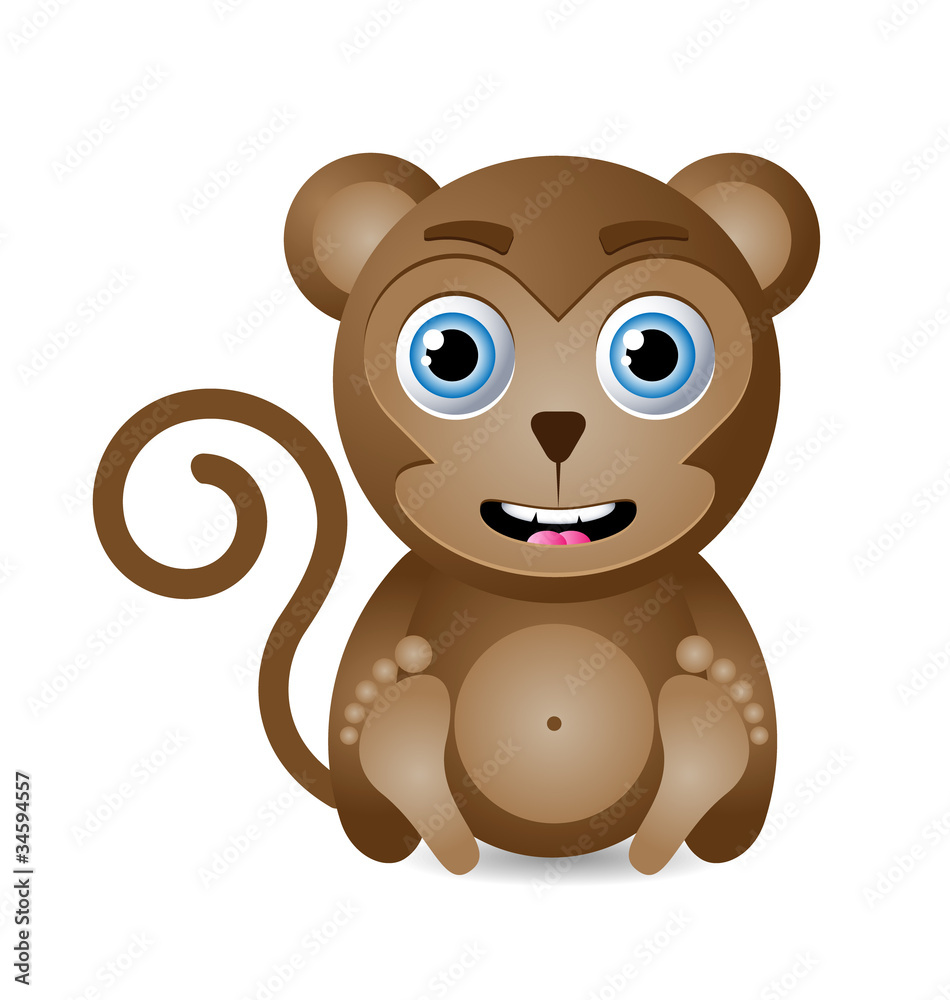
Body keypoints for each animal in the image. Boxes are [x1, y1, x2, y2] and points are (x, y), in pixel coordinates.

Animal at [94, 152, 819, 875]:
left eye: (656, 353)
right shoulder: (401, 596)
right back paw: (399, 733)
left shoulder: (704, 596)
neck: (551, 594)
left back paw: (708, 732)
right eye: (450, 353)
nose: (558, 425)